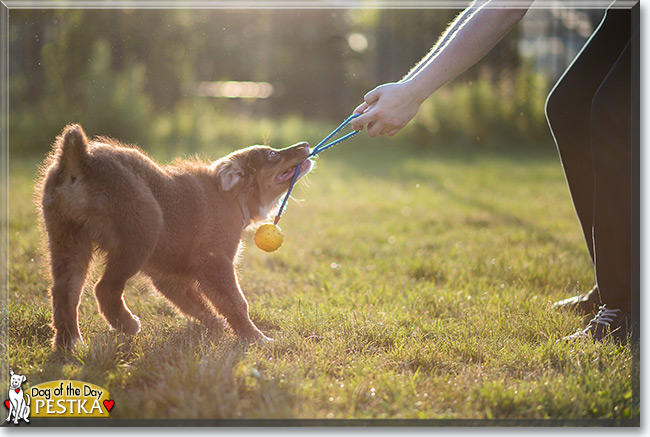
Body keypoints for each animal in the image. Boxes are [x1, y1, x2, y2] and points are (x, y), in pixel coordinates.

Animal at [36, 124, 312, 350]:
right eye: (272, 155)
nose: (306, 145)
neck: (232, 198)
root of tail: (82, 159)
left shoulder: (169, 278)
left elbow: (196, 305)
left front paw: (216, 326)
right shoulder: (214, 263)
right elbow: (235, 302)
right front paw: (255, 338)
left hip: (68, 239)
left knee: (65, 292)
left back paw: (69, 343)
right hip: (143, 229)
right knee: (104, 289)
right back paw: (127, 324)